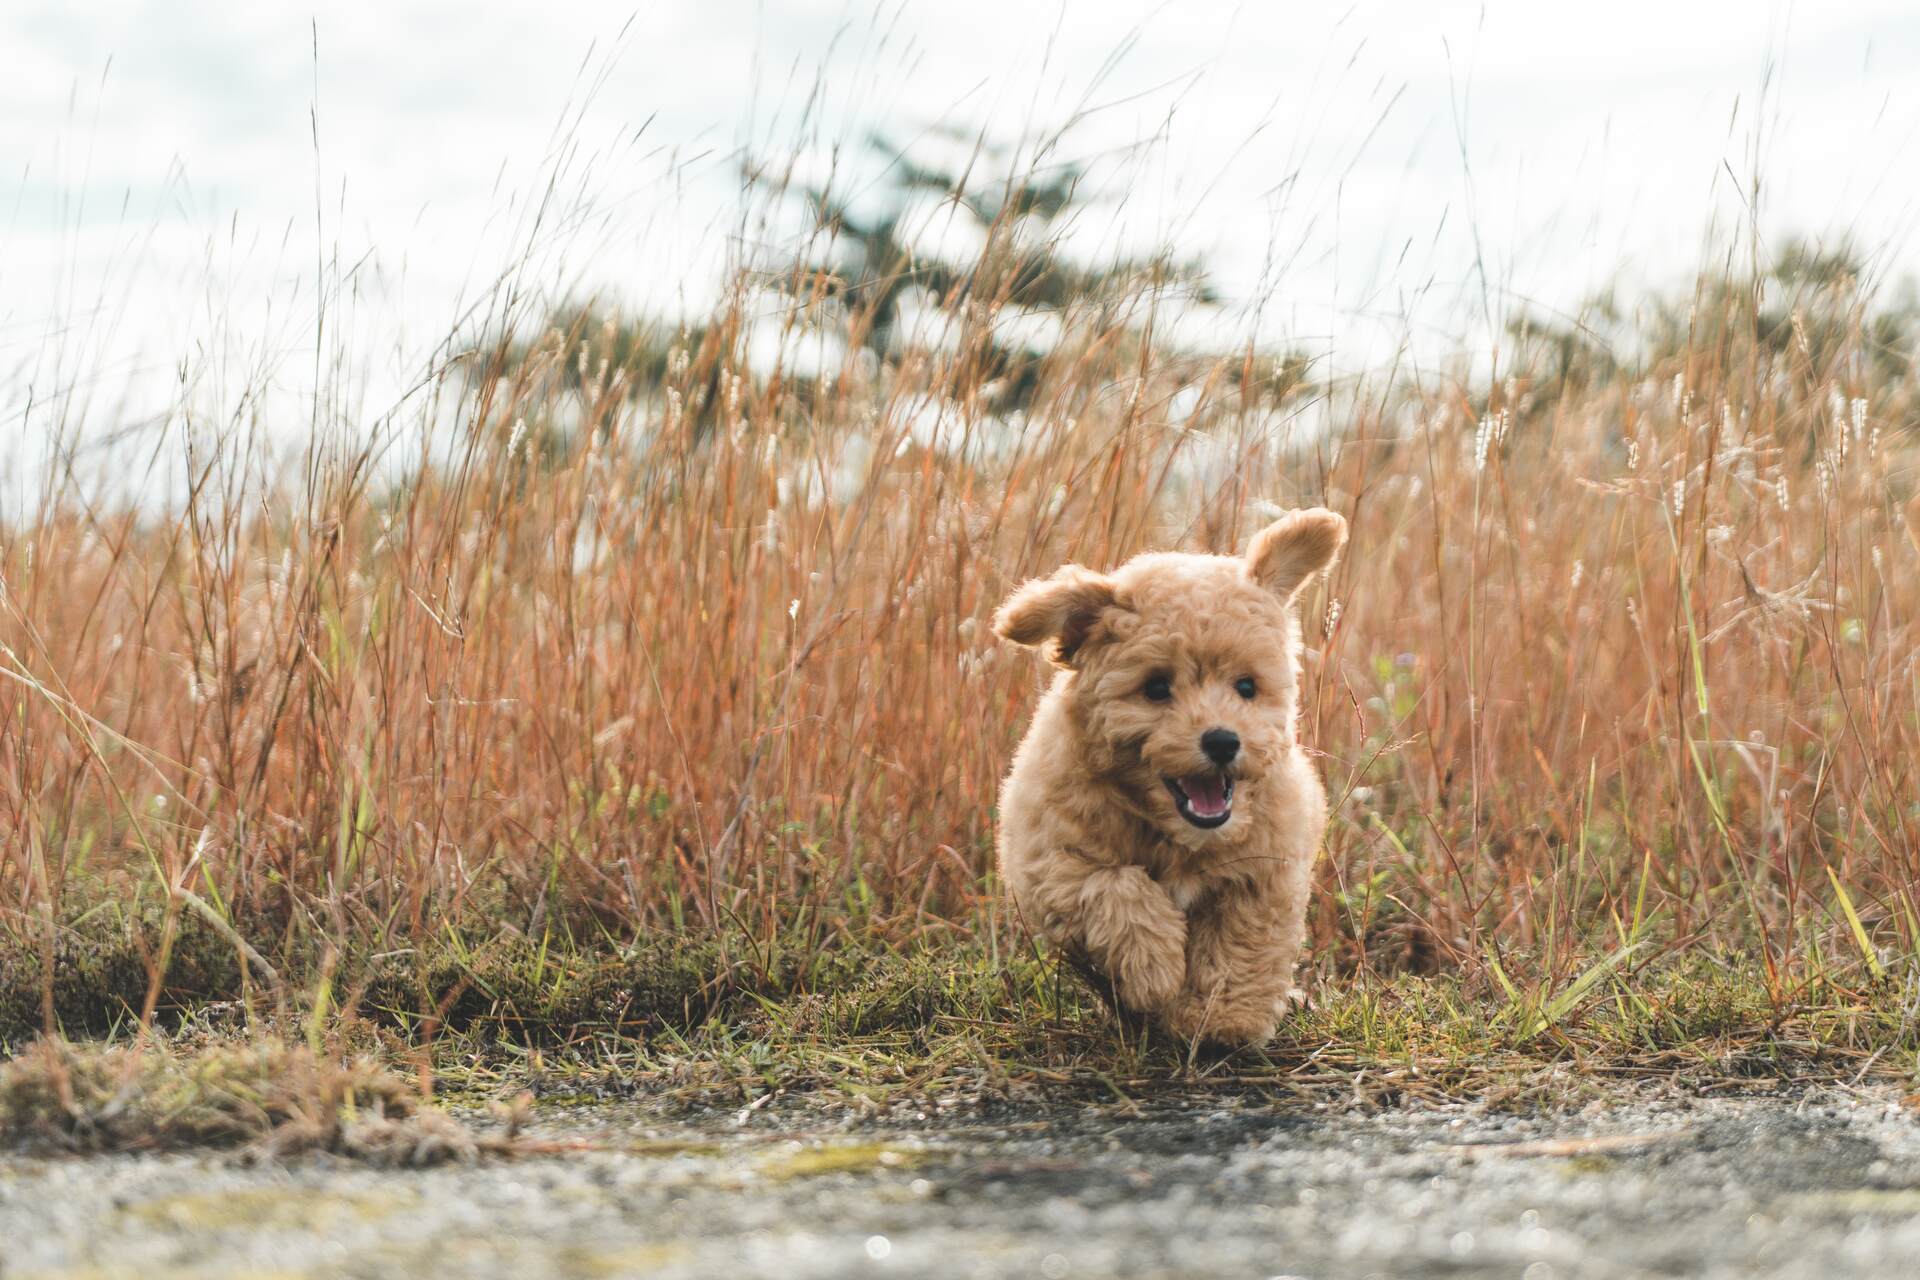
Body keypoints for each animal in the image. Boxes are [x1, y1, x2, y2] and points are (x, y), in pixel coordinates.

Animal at [998, 510, 1344, 1051]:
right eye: (1156, 687)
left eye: (1246, 686)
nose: (1222, 741)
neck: (1178, 834)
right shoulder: (1050, 862)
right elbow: (1116, 885)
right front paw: (1155, 967)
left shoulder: (1264, 872)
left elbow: (1244, 943)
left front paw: (1226, 1018)